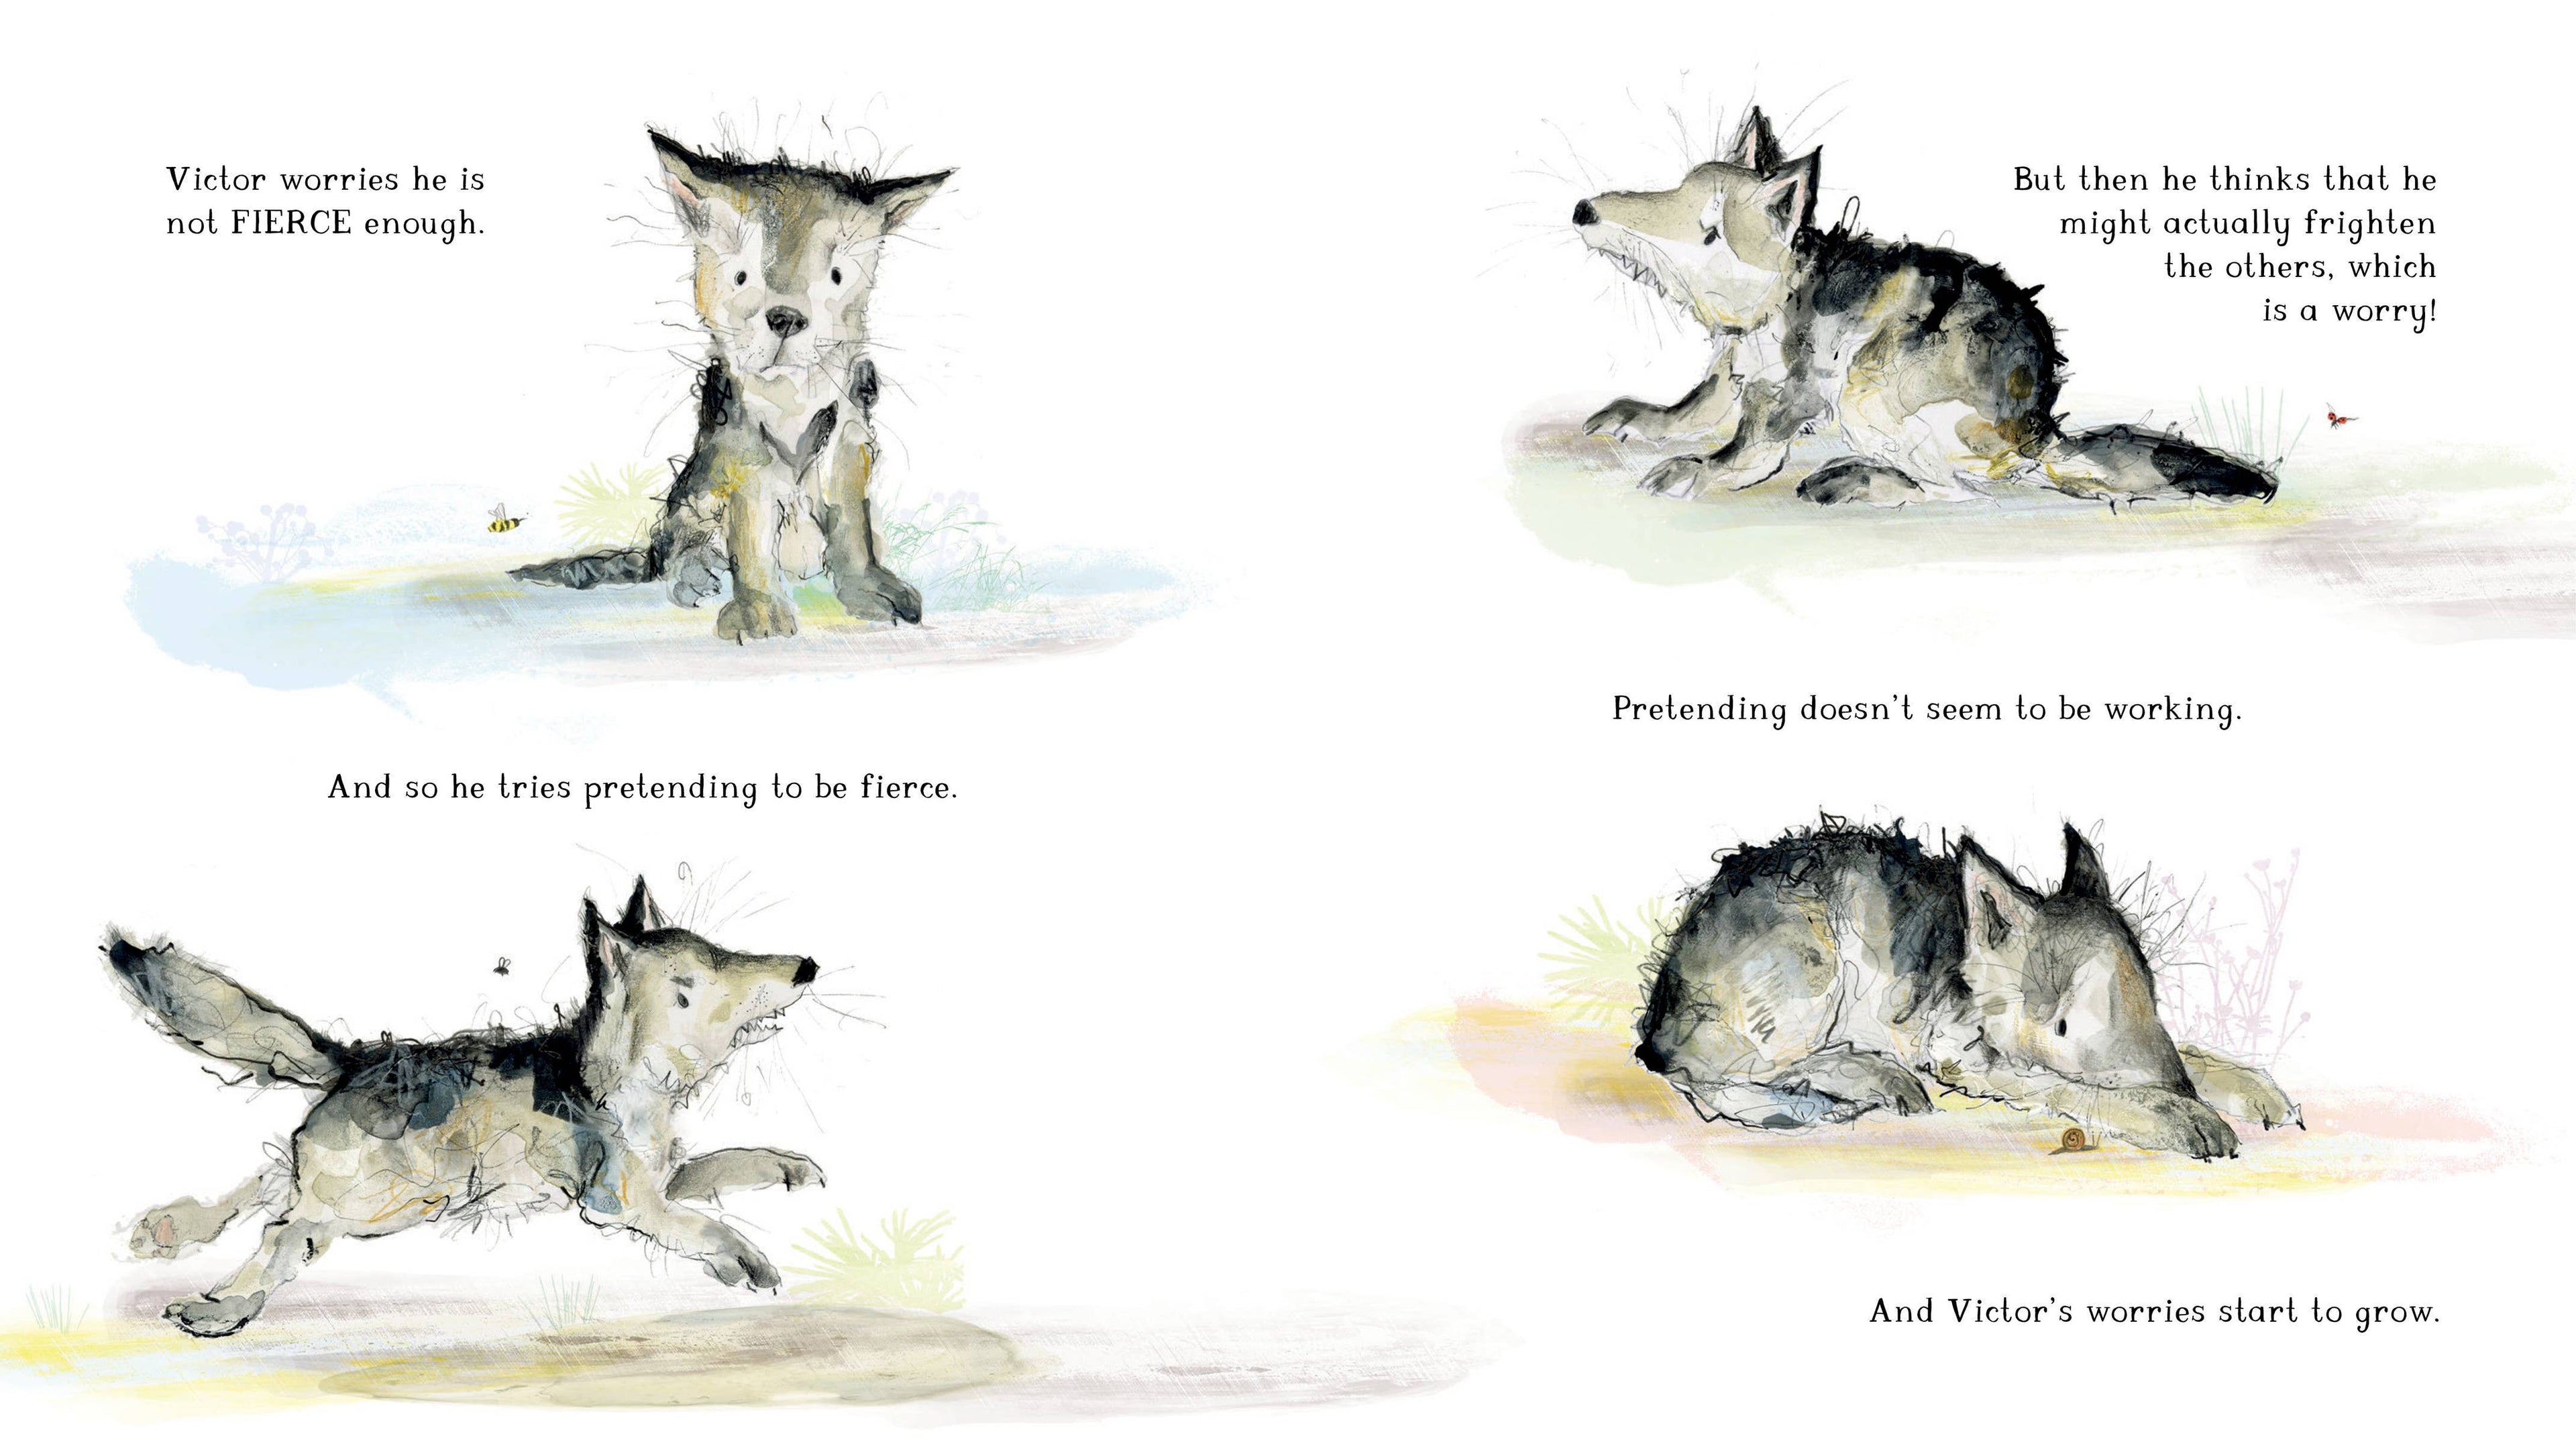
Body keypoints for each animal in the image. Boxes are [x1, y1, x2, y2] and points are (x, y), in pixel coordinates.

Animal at [105, 878, 822, 1336]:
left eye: (724, 953)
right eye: (701, 976)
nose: (808, 967)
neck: (629, 1084)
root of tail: (355, 1058)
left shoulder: (666, 1178)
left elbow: (731, 1162)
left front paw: (792, 1169)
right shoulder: (622, 1205)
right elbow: (703, 1226)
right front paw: (744, 1259)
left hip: (378, 1191)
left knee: (267, 1181)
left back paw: (170, 1228)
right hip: (398, 1201)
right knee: (284, 1231)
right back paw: (221, 1308)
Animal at [514, 130, 951, 641]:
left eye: (837, 277)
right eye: (742, 277)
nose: (785, 318)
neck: (789, 396)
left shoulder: (847, 439)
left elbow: (852, 526)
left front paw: (866, 588)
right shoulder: (743, 447)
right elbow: (751, 533)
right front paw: (759, 609)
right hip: (698, 485)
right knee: (677, 543)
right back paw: (694, 572)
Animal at [1571, 110, 2277, 507]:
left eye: (1706, 229)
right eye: (1675, 188)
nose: (1584, 211)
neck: (1776, 298)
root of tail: (2040, 432)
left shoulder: (1799, 390)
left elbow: (1748, 451)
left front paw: (1700, 470)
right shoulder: (1733, 371)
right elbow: (1691, 407)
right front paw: (1641, 419)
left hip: (1868, 386)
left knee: (1960, 489)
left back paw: (1857, 480)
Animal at [1633, 822, 2300, 1158]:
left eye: (2152, 999)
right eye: (2063, 1025)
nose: (2180, 1091)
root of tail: (1661, 1014)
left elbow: (2189, 1053)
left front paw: (2259, 1094)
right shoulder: (1969, 1062)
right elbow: (2077, 1088)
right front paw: (2187, 1120)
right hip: (1809, 973)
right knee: (1707, 1074)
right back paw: (1871, 1084)